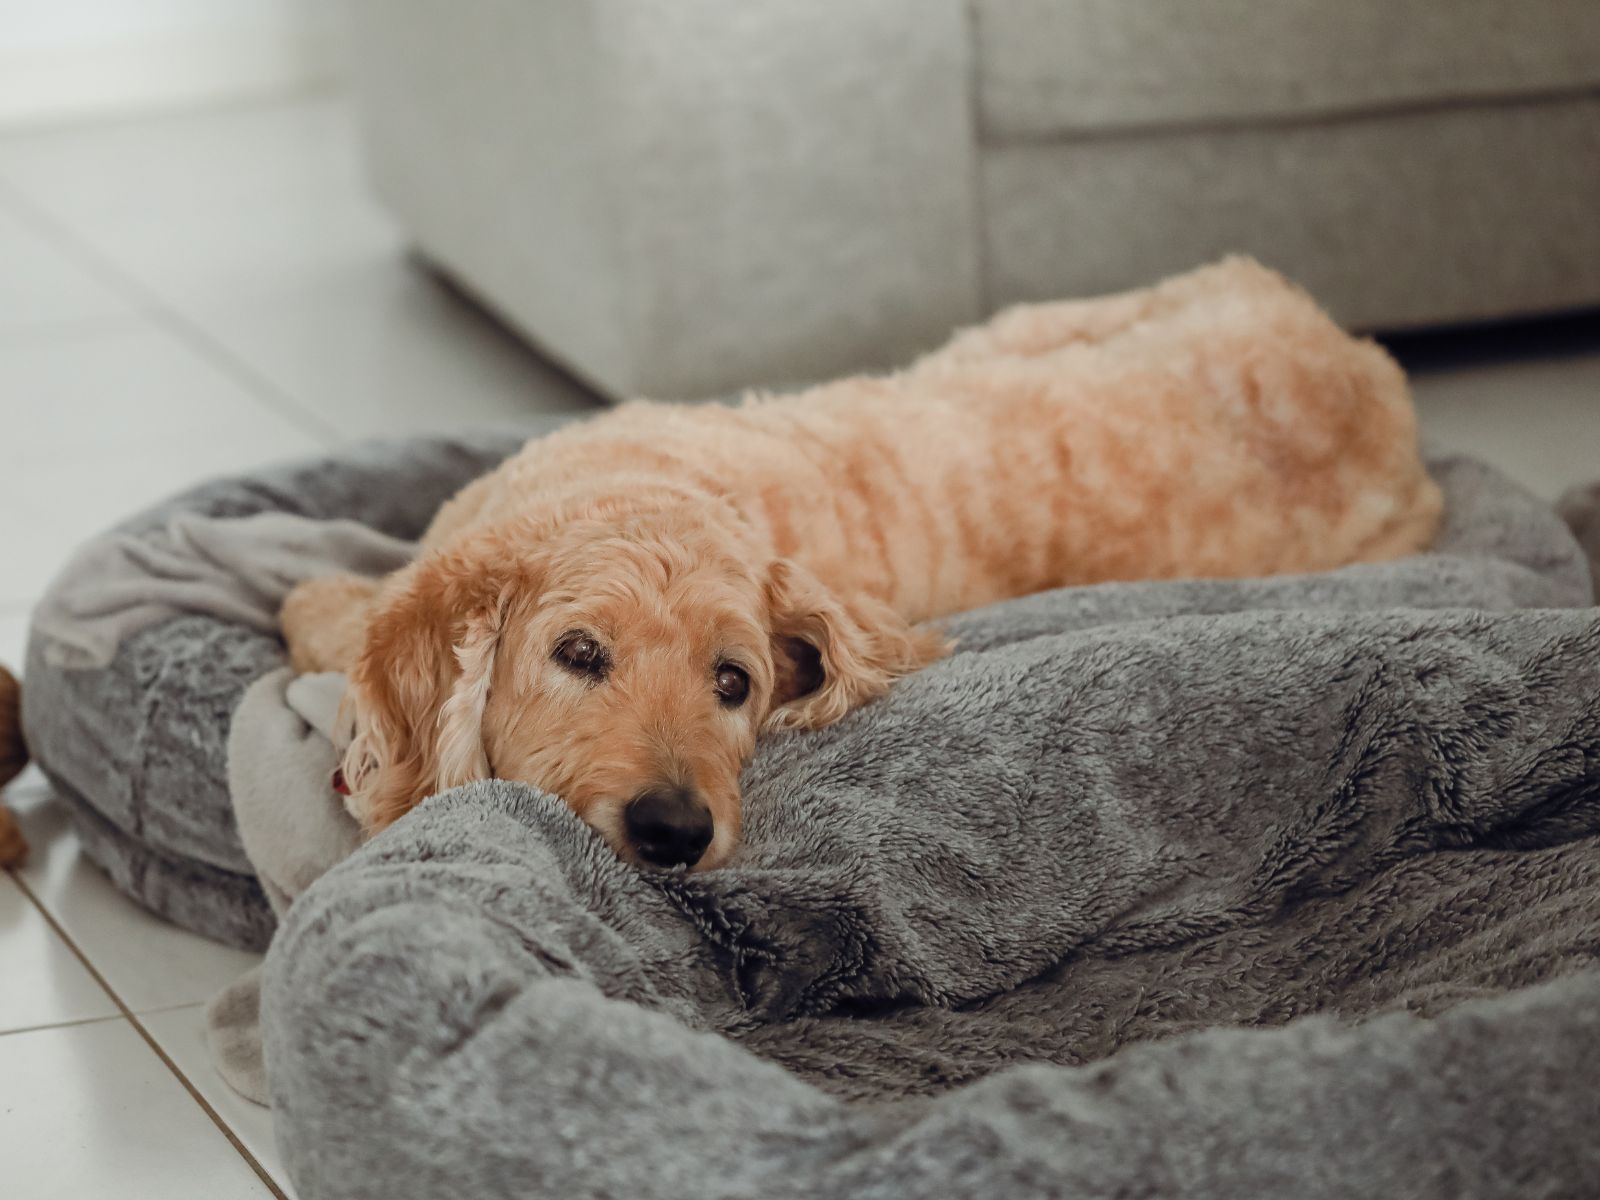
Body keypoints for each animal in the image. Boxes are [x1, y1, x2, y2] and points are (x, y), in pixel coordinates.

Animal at [281, 256, 1446, 876]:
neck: (634, 483)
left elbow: (313, 608)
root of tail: (1363, 365)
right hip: (1018, 329)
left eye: (734, 682)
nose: (674, 832)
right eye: (577, 653)